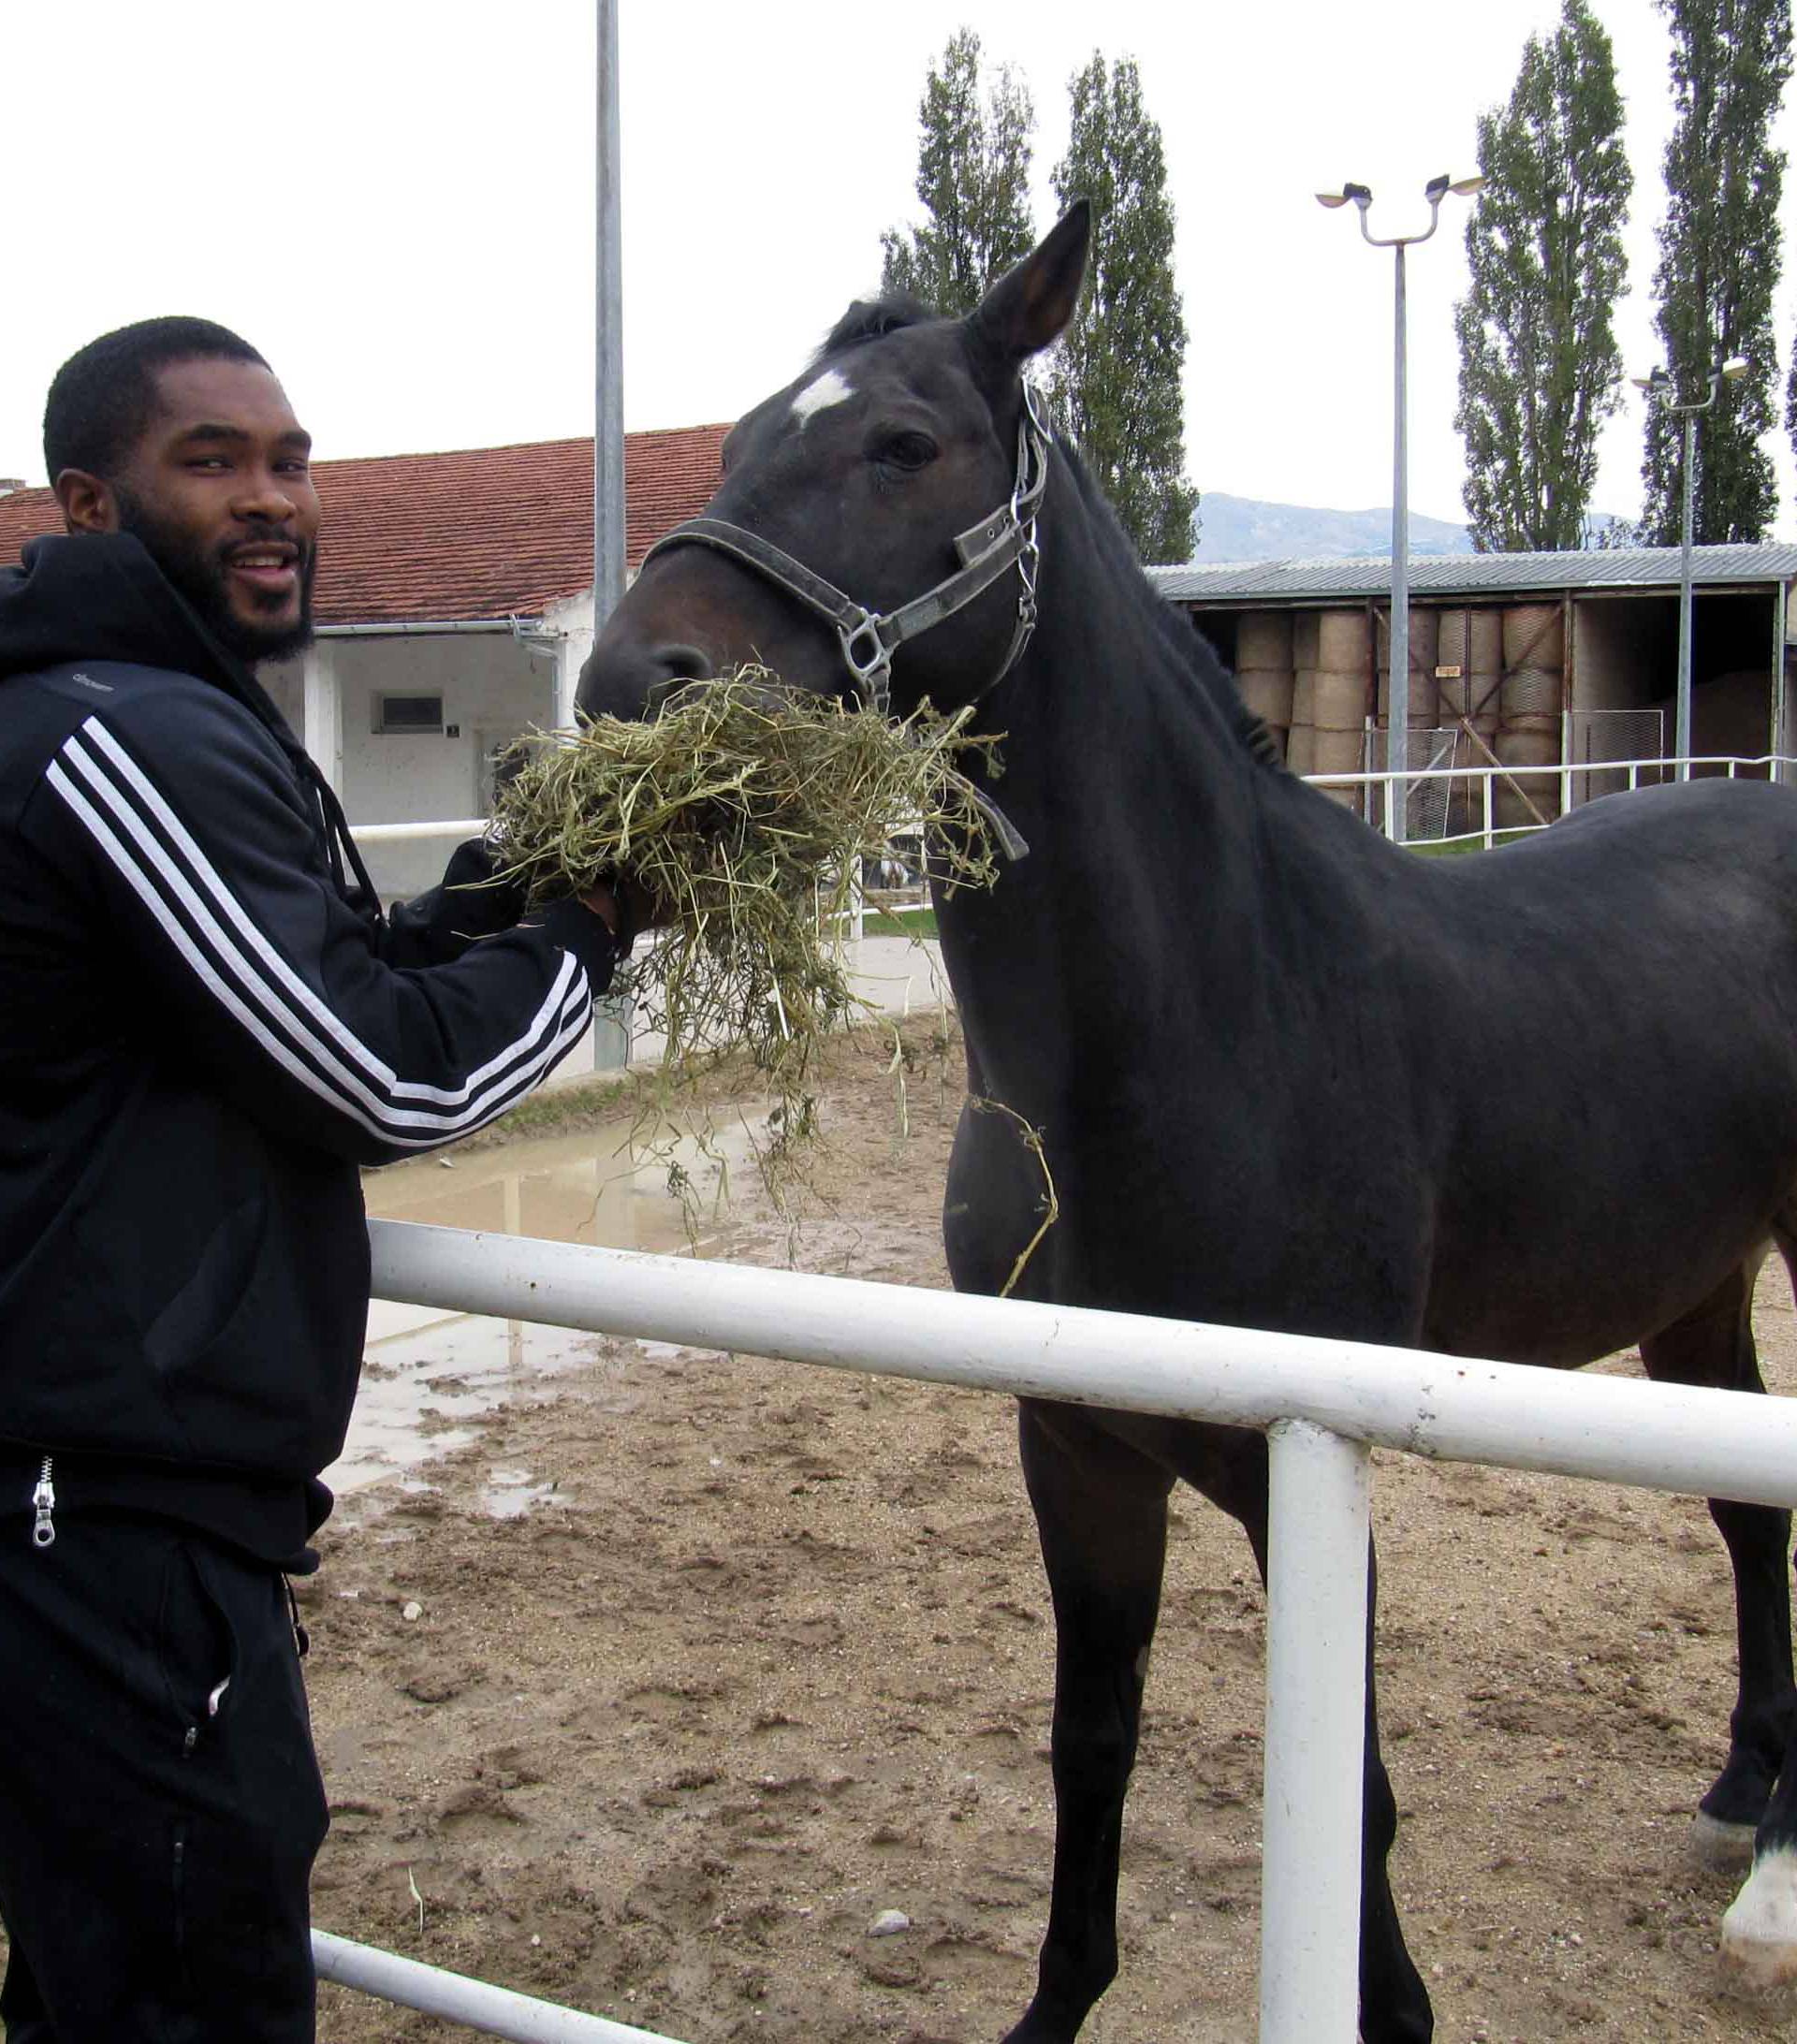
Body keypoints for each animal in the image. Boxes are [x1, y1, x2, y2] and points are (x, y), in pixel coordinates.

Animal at [584, 198, 1797, 2036]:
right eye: (735, 439)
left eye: (904, 444)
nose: (623, 677)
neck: (1203, 1034)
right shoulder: (1081, 1450)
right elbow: (1093, 1743)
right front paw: (1056, 2000)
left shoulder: (1304, 1478)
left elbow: (1354, 1796)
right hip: (1695, 1285)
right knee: (1749, 1513)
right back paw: (1742, 1791)